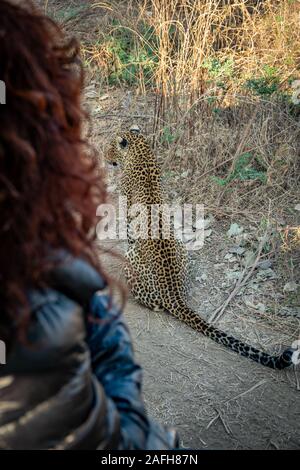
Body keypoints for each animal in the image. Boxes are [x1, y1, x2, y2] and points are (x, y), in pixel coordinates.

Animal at [105, 125, 292, 370]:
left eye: (110, 147)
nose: (104, 156)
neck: (141, 151)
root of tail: (175, 295)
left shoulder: (127, 213)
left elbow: (128, 232)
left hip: (132, 261)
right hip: (183, 250)